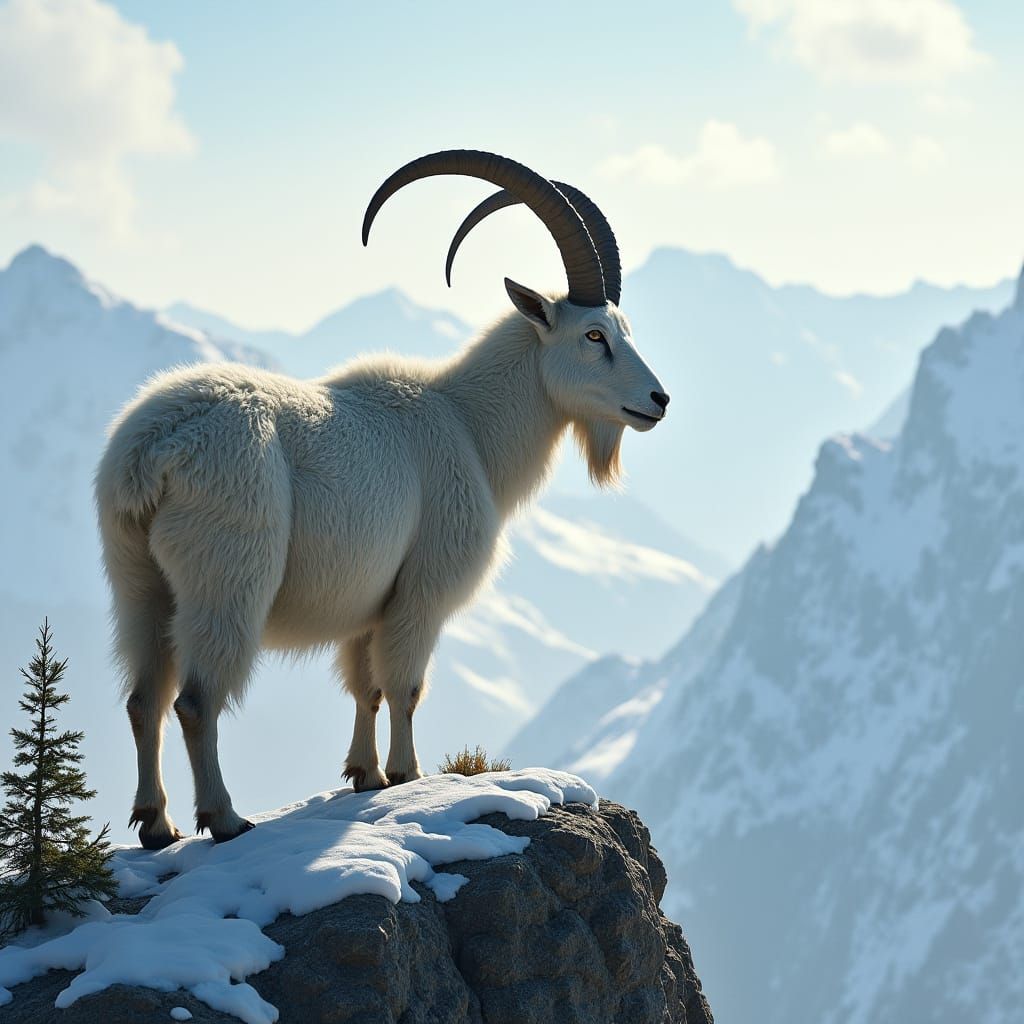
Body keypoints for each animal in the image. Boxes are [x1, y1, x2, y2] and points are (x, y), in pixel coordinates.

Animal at [96, 150, 670, 846]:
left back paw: (158, 824)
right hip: (225, 578)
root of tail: (154, 451)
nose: (657, 401)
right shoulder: (422, 590)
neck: (468, 424)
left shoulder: (369, 603)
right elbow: (405, 685)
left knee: (143, 697)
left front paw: (364, 775)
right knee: (195, 699)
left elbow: (364, 686)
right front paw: (407, 775)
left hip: (137, 581)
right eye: (592, 335)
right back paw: (224, 818)